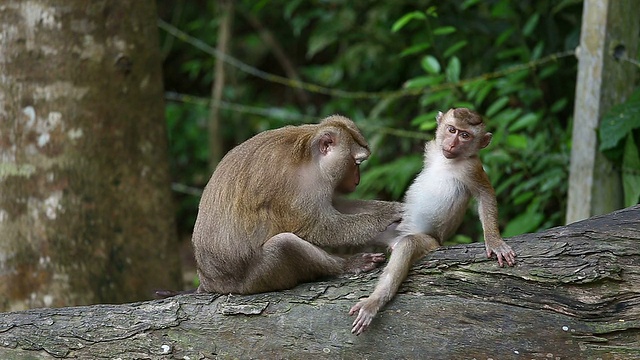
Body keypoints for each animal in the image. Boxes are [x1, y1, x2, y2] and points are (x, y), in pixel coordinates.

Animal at [191, 115, 400, 296]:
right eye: (356, 163)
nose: (357, 180)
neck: (309, 159)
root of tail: (210, 281)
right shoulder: (293, 187)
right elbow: (319, 227)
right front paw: (387, 215)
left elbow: (336, 206)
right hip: (254, 281)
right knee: (284, 245)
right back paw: (346, 265)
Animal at [348, 107, 516, 334]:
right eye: (451, 129)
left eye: (465, 135)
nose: (452, 143)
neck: (448, 160)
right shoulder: (432, 148)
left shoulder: (472, 167)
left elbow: (485, 195)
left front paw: (495, 242)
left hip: (429, 241)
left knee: (408, 245)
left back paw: (375, 301)